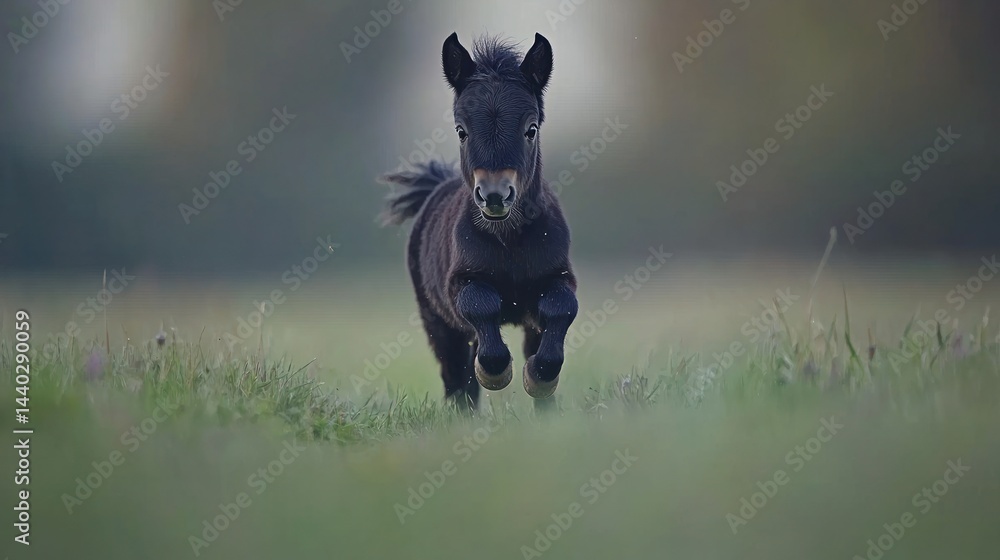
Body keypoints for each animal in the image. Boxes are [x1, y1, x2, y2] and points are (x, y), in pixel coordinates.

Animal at [378, 32, 578, 409]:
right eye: (461, 130)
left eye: (531, 129)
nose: (495, 195)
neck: (508, 238)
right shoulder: (460, 284)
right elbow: (480, 306)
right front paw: (496, 372)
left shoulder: (557, 276)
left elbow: (562, 308)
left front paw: (539, 377)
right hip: (437, 323)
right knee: (456, 377)